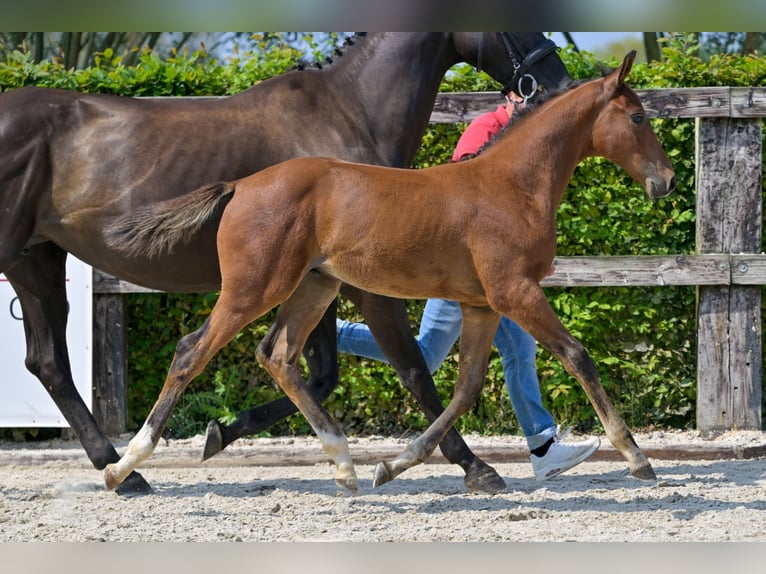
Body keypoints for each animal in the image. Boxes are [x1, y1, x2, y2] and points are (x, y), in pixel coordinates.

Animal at [0, 33, 568, 498]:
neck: (347, 111)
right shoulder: (362, 285)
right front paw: (472, 467)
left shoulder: (321, 280)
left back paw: (124, 470)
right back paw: (123, 469)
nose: (557, 80)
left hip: (37, 261)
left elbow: (316, 372)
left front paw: (223, 432)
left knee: (49, 363)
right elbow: (411, 369)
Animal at [103, 53, 680, 496]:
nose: (668, 180)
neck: (512, 184)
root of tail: (241, 186)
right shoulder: (514, 292)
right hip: (253, 287)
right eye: (637, 118)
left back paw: (345, 465)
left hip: (314, 286)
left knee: (279, 356)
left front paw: (395, 465)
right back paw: (122, 467)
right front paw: (637, 458)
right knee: (191, 352)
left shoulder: (481, 303)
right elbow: (577, 356)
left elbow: (466, 387)